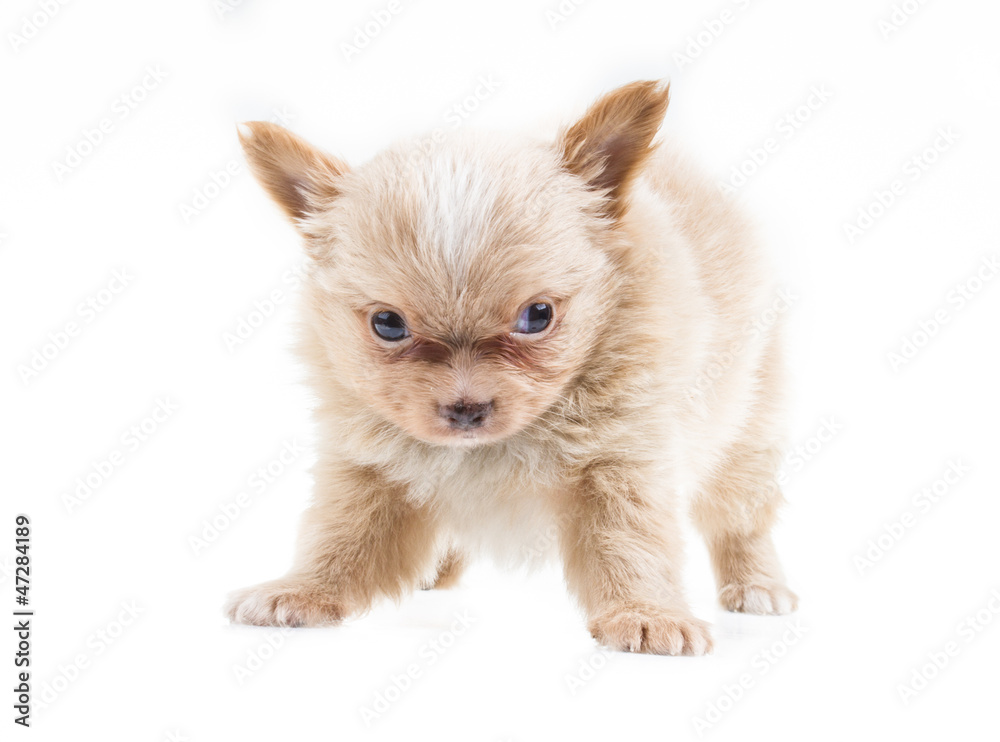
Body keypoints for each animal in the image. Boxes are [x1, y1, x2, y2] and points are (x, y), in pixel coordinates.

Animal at [225, 80, 796, 656]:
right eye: (387, 324)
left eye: (537, 316)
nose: (466, 408)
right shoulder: (367, 472)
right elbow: (340, 539)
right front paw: (302, 590)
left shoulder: (623, 463)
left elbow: (630, 541)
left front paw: (645, 612)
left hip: (745, 436)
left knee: (740, 521)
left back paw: (757, 585)